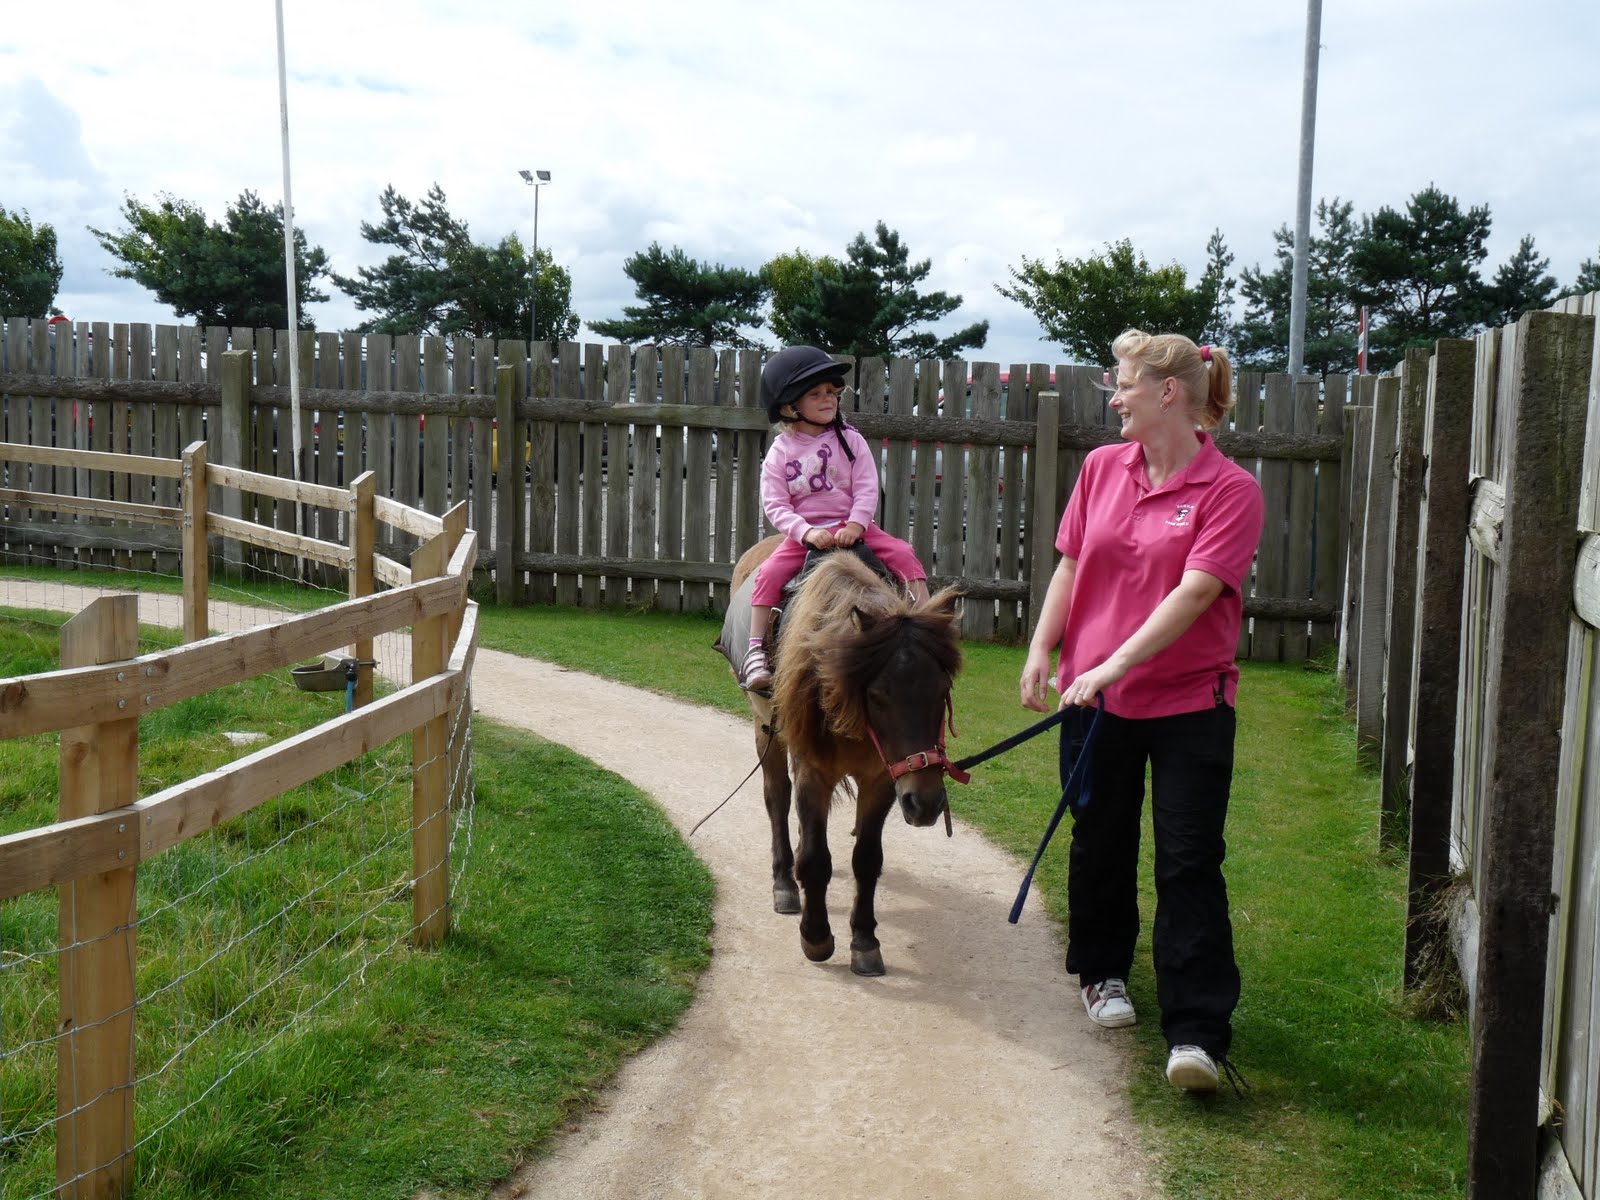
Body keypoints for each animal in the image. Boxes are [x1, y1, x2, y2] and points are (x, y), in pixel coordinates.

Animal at [728, 536, 963, 976]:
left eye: (942, 691)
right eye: (877, 695)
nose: (925, 802)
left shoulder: (882, 780)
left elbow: (867, 860)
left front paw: (865, 941)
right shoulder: (813, 772)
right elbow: (815, 859)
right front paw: (816, 936)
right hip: (765, 729)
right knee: (776, 798)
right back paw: (784, 882)